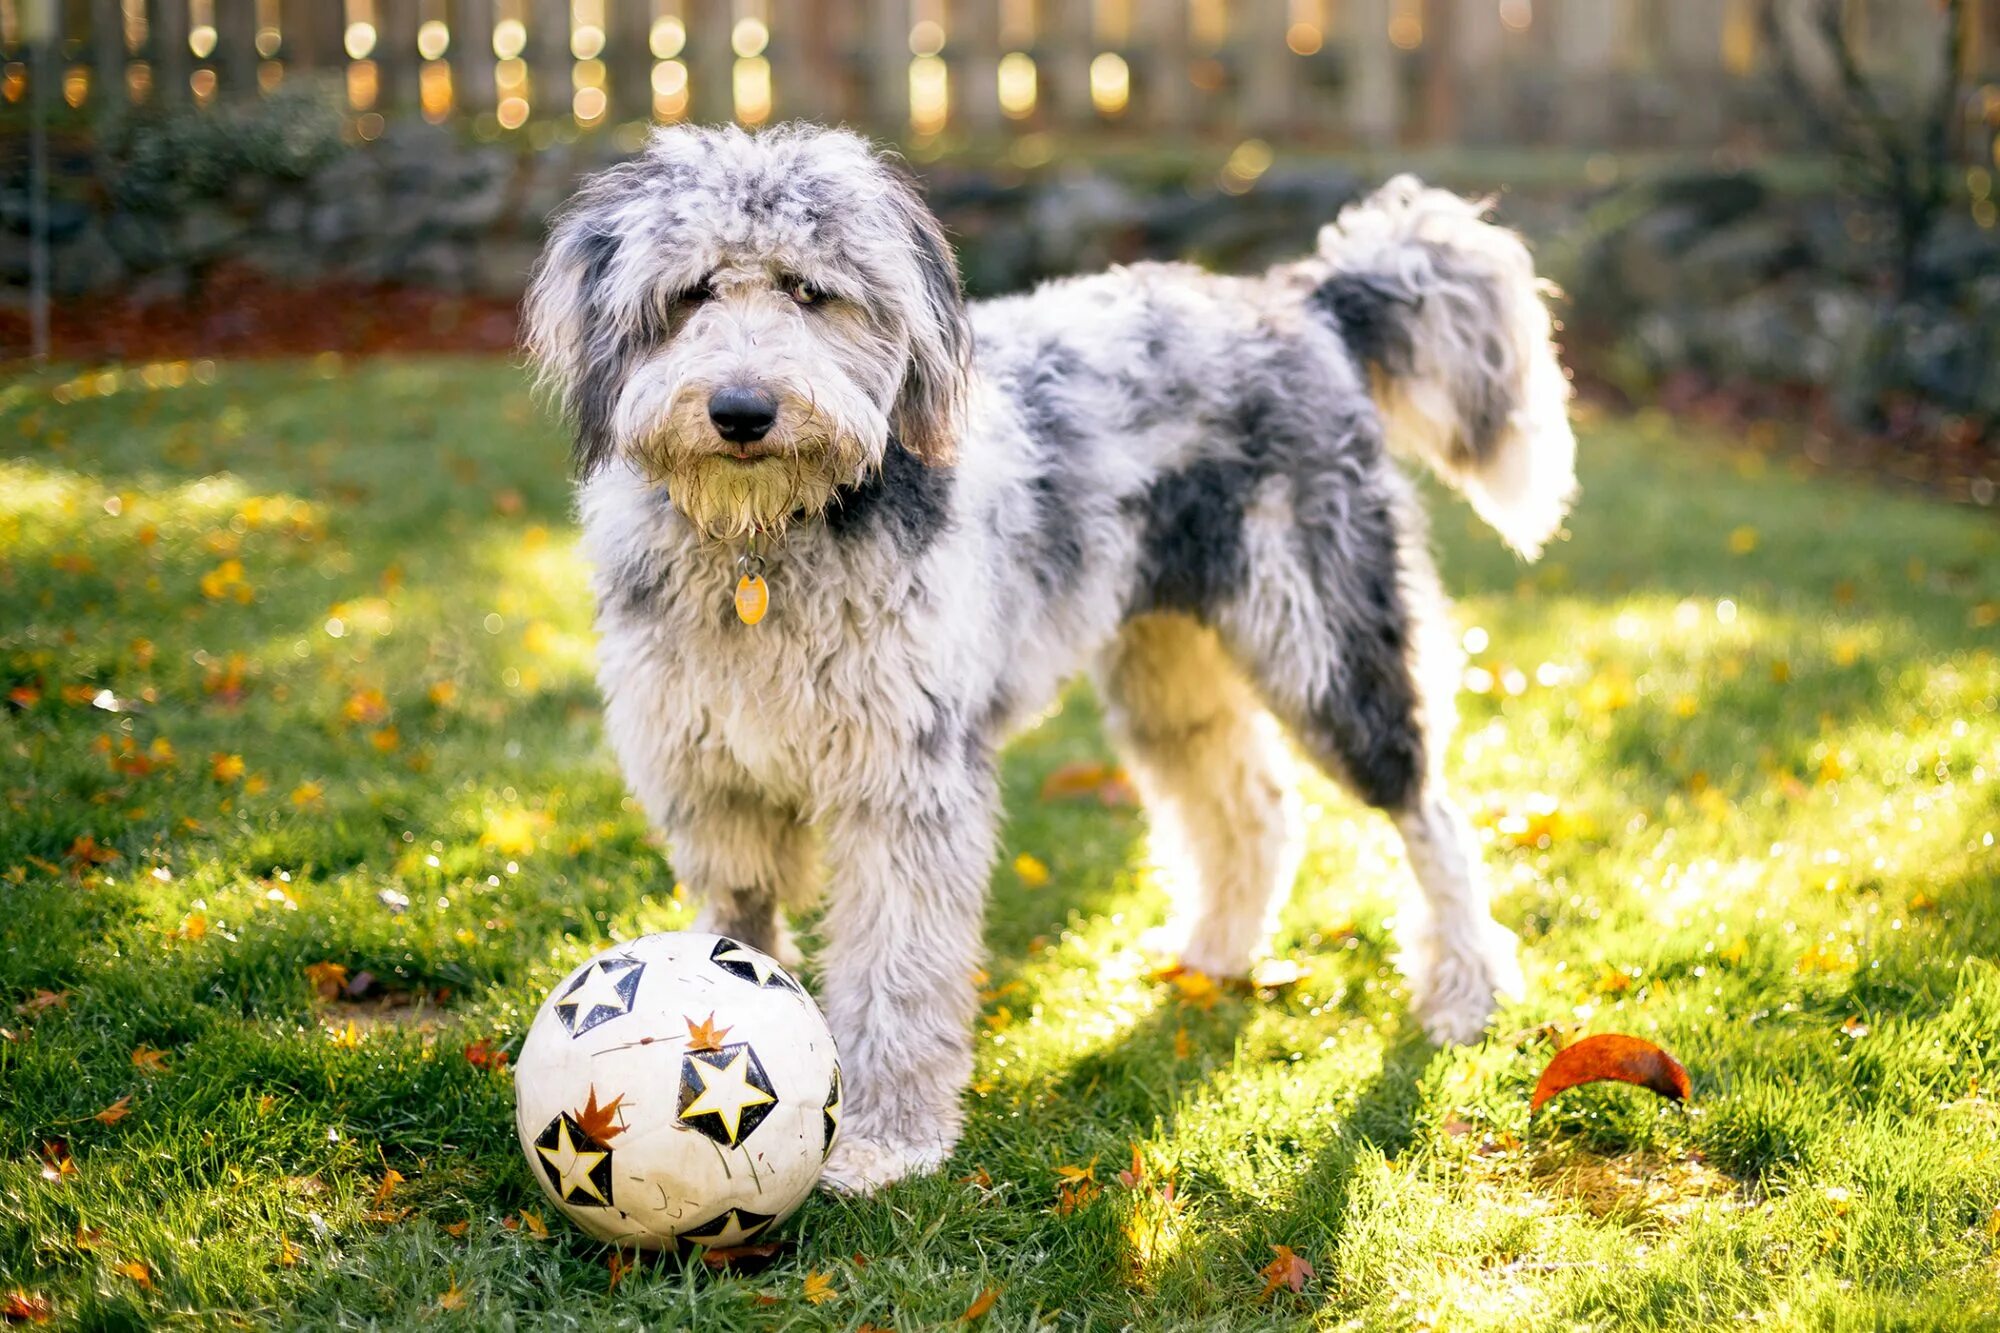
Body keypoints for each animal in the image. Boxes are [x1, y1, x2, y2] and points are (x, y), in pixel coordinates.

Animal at [528, 122, 1576, 1184]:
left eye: (811, 291)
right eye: (692, 292)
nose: (742, 411)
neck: (764, 546)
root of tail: (1302, 298)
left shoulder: (906, 784)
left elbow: (898, 968)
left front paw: (886, 1137)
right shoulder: (713, 782)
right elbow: (738, 933)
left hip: (1330, 643)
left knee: (1429, 812)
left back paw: (1465, 989)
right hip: (1167, 668)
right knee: (1253, 810)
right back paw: (1215, 953)